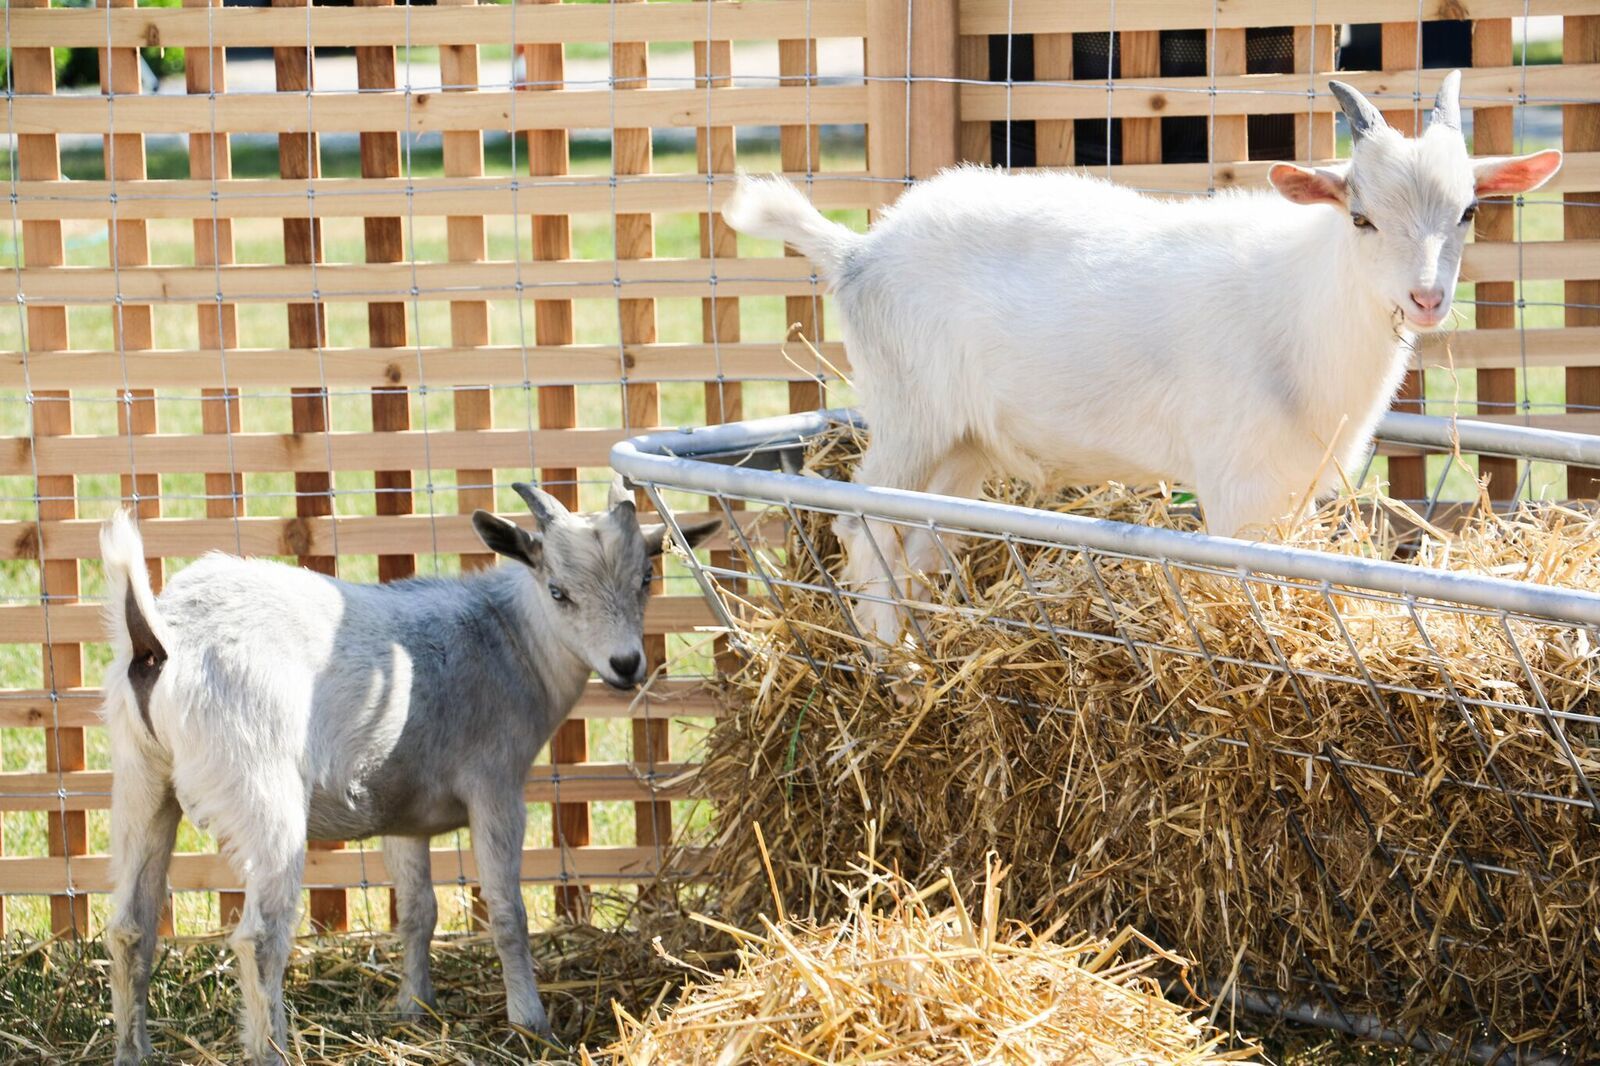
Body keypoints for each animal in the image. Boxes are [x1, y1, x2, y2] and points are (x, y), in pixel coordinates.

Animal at [100, 483, 720, 1062]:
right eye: (558, 591)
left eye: (645, 578)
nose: (626, 665)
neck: (510, 639)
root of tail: (162, 639)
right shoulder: (495, 785)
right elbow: (507, 913)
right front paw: (530, 1024)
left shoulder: (399, 809)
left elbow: (419, 911)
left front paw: (414, 1008)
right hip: (261, 787)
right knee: (261, 936)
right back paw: (271, 1050)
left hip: (141, 779)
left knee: (132, 924)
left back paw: (134, 1051)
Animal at [726, 72, 1561, 646]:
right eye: (1360, 217)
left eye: (1468, 210)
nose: (1425, 299)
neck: (1300, 303)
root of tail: (855, 252)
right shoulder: (1236, 485)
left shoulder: (1291, 491)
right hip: (910, 415)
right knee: (862, 522)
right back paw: (891, 660)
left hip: (962, 442)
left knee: (921, 537)